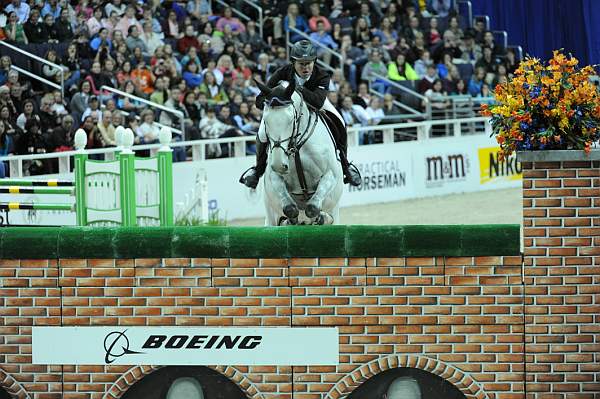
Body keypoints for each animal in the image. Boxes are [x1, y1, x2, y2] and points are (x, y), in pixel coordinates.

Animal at [256, 82, 344, 225]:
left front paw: (320, 218)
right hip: (269, 216)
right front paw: (291, 220)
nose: (279, 165)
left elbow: (312, 208)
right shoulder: (274, 177)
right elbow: (290, 209)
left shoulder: (330, 175)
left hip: (335, 209)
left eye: (291, 119)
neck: (297, 146)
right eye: (265, 120)